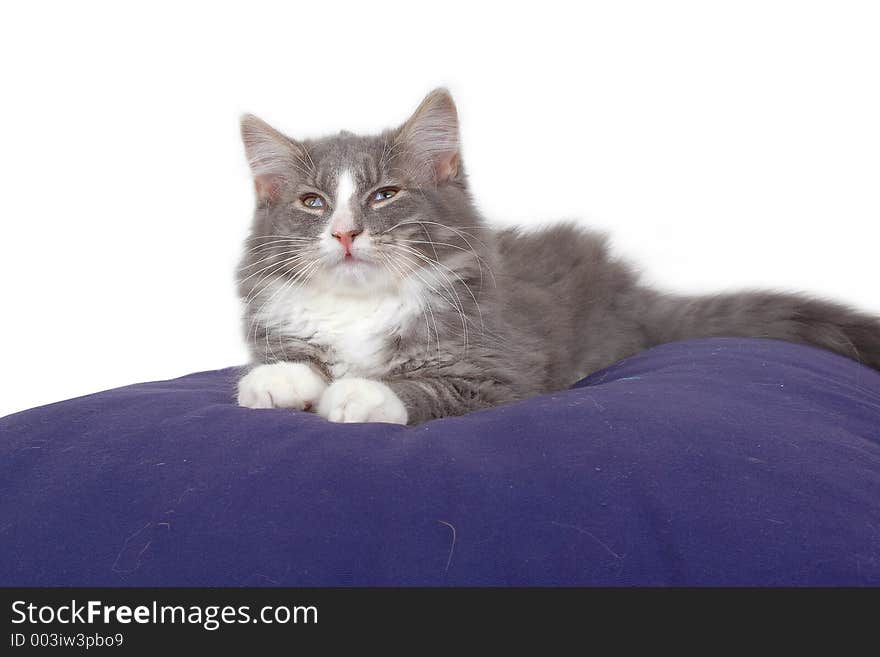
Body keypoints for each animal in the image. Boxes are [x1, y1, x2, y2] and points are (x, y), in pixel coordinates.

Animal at [235, 87, 880, 426]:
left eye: (384, 195)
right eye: (313, 202)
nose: (344, 232)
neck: (361, 307)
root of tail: (632, 293)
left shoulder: (499, 365)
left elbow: (430, 388)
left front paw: (360, 393)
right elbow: (296, 357)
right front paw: (277, 380)